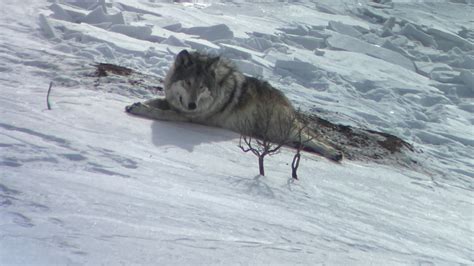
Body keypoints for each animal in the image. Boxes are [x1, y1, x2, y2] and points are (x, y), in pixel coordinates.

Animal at [125, 50, 340, 162]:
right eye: (187, 82)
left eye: (201, 86)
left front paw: (141, 109)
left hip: (282, 129)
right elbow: (154, 101)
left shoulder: (187, 116)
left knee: (315, 140)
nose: (193, 105)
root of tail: (287, 101)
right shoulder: (174, 104)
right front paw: (135, 104)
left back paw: (335, 154)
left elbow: (158, 112)